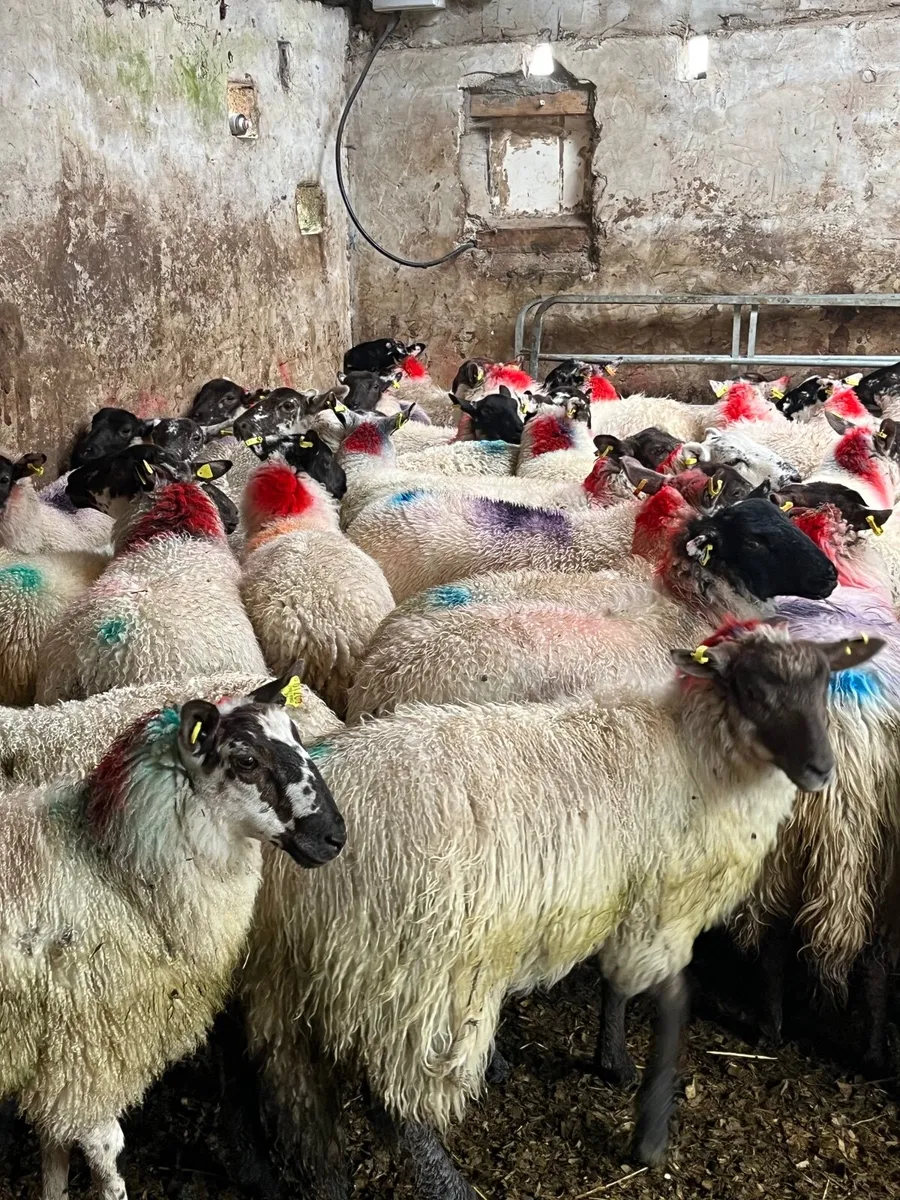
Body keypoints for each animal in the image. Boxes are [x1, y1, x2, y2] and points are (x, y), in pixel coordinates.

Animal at [242, 624, 877, 1195]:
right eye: (751, 688)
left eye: (825, 682)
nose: (821, 768)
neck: (695, 753)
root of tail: (286, 869)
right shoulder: (662, 906)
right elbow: (674, 1000)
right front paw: (649, 1132)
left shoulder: (624, 898)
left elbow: (616, 986)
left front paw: (613, 1061)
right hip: (412, 973)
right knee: (396, 1110)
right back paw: (450, 1185)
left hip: (289, 979)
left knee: (289, 1095)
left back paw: (315, 1180)